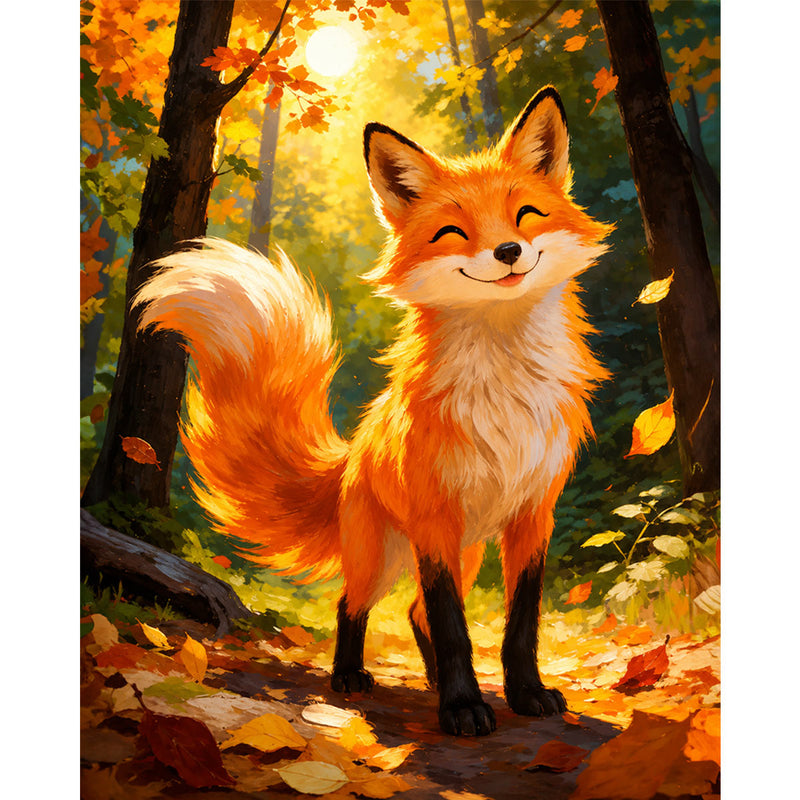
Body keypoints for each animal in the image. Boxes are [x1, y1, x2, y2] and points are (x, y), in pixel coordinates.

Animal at [134, 86, 613, 736]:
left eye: (527, 216)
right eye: (453, 230)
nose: (508, 251)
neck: (504, 391)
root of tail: (353, 451)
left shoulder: (533, 515)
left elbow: (519, 624)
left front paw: (524, 694)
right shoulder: (435, 519)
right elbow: (455, 626)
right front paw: (463, 708)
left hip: (467, 551)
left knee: (414, 613)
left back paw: (429, 681)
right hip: (382, 556)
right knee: (353, 603)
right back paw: (350, 677)